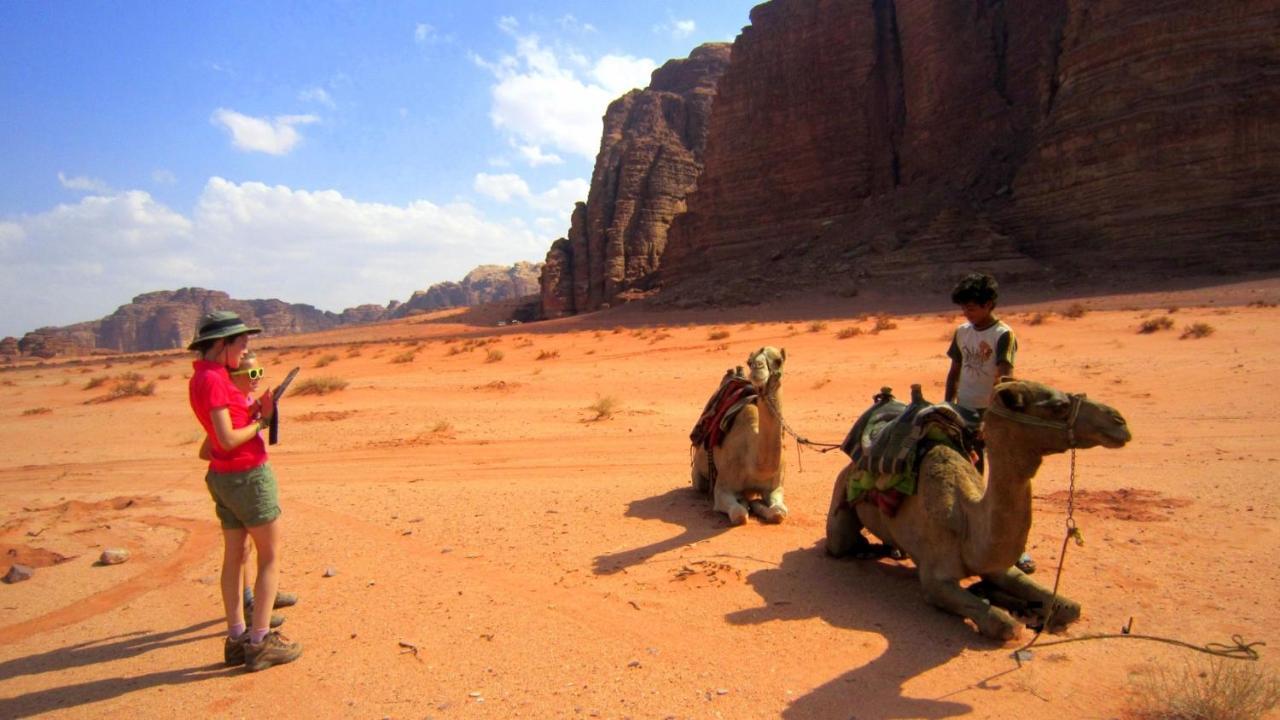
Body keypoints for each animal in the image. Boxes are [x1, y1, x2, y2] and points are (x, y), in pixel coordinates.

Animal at [691, 345, 788, 520]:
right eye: (749, 361)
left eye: (778, 361)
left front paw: (757, 505)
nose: (757, 368)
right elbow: (739, 514)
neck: (755, 464)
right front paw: (747, 503)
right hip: (698, 476)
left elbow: (779, 513)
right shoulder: (723, 487)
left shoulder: (775, 487)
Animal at [824, 379, 1126, 635]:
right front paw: (999, 604)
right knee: (841, 543)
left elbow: (1071, 607)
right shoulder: (935, 581)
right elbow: (1004, 626)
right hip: (840, 494)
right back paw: (866, 549)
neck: (967, 521)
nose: (1119, 421)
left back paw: (893, 549)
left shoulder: (998, 565)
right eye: (1057, 406)